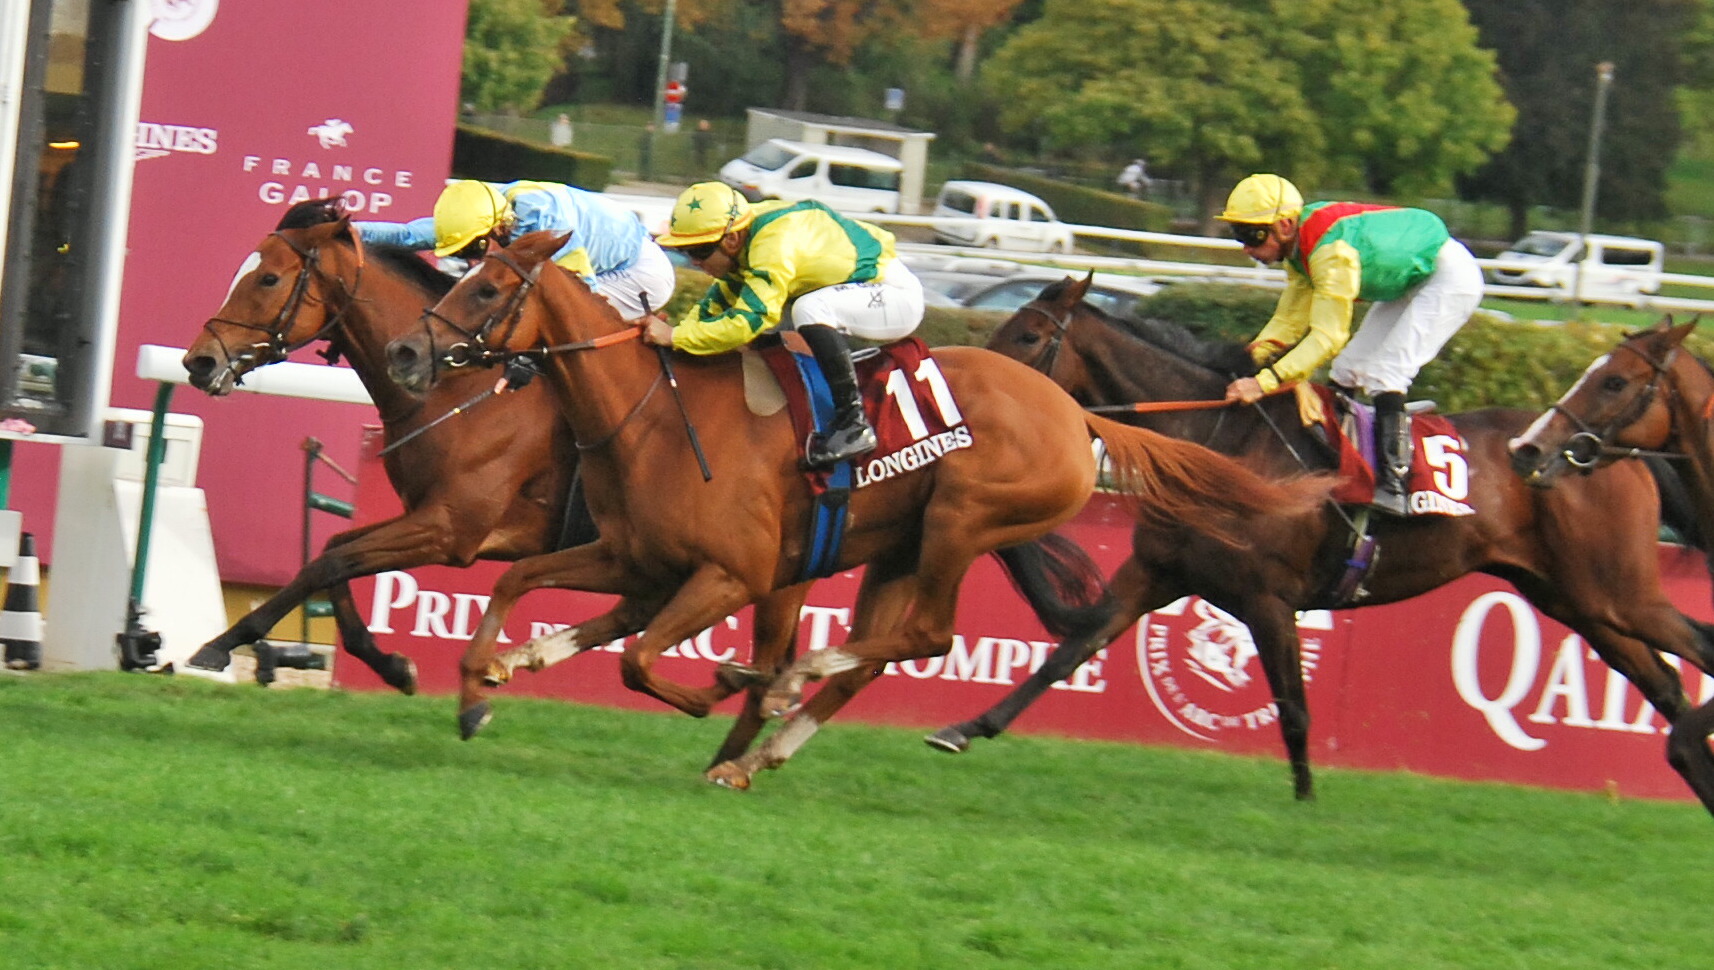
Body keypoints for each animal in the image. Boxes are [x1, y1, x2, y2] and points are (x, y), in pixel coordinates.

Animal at [385, 233, 1323, 791]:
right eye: (464, 277)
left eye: (487, 290)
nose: (405, 352)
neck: (651, 412)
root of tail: (1078, 415)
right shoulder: (634, 558)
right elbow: (522, 584)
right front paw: (488, 677)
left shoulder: (732, 573)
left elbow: (640, 660)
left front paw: (722, 687)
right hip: (898, 545)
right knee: (875, 653)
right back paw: (761, 747)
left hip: (961, 520)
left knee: (927, 636)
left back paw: (777, 697)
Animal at [932, 274, 1714, 812]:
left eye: (1028, 337)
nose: (961, 382)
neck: (1217, 444)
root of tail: (1617, 457)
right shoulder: (1155, 572)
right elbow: (1070, 649)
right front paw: (965, 727)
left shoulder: (1268, 599)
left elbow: (1295, 708)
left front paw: (1306, 803)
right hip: (1577, 600)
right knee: (1668, 685)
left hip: (1615, 588)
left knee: (1690, 655)